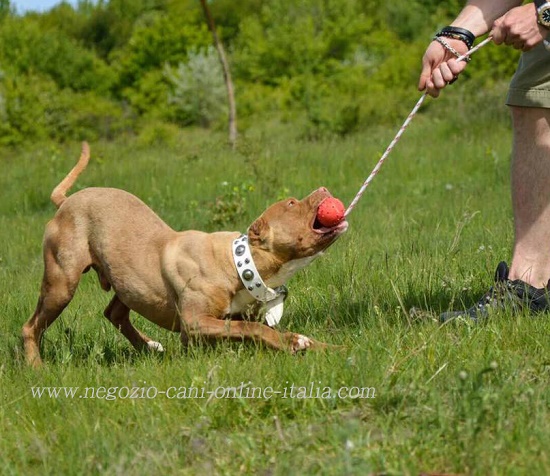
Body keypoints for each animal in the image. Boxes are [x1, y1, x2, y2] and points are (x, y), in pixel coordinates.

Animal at [22, 143, 350, 366]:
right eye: (292, 203)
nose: (324, 188)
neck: (241, 263)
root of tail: (66, 201)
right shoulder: (195, 322)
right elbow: (250, 327)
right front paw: (289, 342)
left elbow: (253, 329)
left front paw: (329, 349)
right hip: (61, 283)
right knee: (31, 326)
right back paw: (36, 367)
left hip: (128, 281)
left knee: (114, 312)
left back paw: (149, 347)